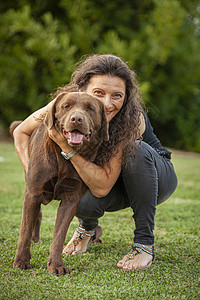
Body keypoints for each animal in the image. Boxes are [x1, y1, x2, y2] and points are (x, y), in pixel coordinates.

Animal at [11, 92, 108, 276]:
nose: (76, 119)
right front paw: (21, 262)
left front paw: (56, 266)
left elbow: (59, 235)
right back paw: (34, 239)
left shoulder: (71, 199)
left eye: (90, 108)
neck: (62, 157)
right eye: (66, 106)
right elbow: (24, 231)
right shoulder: (33, 192)